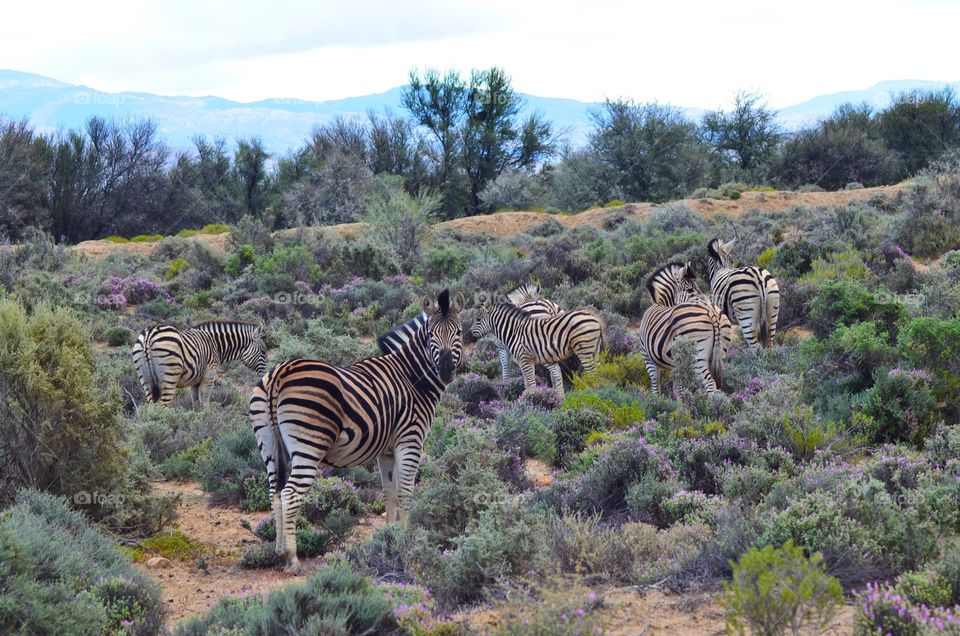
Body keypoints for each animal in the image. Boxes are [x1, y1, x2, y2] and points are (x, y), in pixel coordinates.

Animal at [131, 322, 266, 408]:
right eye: (263, 351)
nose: (264, 376)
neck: (216, 345)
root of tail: (148, 335)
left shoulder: (195, 380)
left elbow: (196, 404)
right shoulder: (209, 375)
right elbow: (205, 403)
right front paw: (206, 421)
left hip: (145, 379)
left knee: (152, 408)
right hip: (169, 376)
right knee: (164, 407)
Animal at [249, 288, 464, 572]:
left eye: (459, 333)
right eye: (431, 336)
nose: (446, 371)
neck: (412, 379)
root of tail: (279, 373)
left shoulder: (386, 450)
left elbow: (389, 491)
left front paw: (389, 536)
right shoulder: (411, 439)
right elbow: (406, 492)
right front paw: (407, 539)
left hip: (269, 444)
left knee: (274, 493)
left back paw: (277, 553)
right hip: (309, 444)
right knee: (290, 494)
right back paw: (292, 558)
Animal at [470, 292, 604, 398]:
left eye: (478, 319)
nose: (469, 335)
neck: (514, 330)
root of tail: (596, 319)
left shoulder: (523, 358)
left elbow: (529, 383)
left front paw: (531, 401)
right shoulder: (523, 360)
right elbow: (526, 383)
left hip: (583, 349)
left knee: (591, 374)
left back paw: (592, 395)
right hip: (593, 349)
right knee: (597, 371)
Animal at [640, 262, 732, 392]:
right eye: (690, 290)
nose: (708, 302)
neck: (661, 304)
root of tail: (711, 311)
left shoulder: (647, 358)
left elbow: (656, 387)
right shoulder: (676, 365)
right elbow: (678, 389)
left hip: (697, 357)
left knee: (710, 383)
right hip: (719, 354)